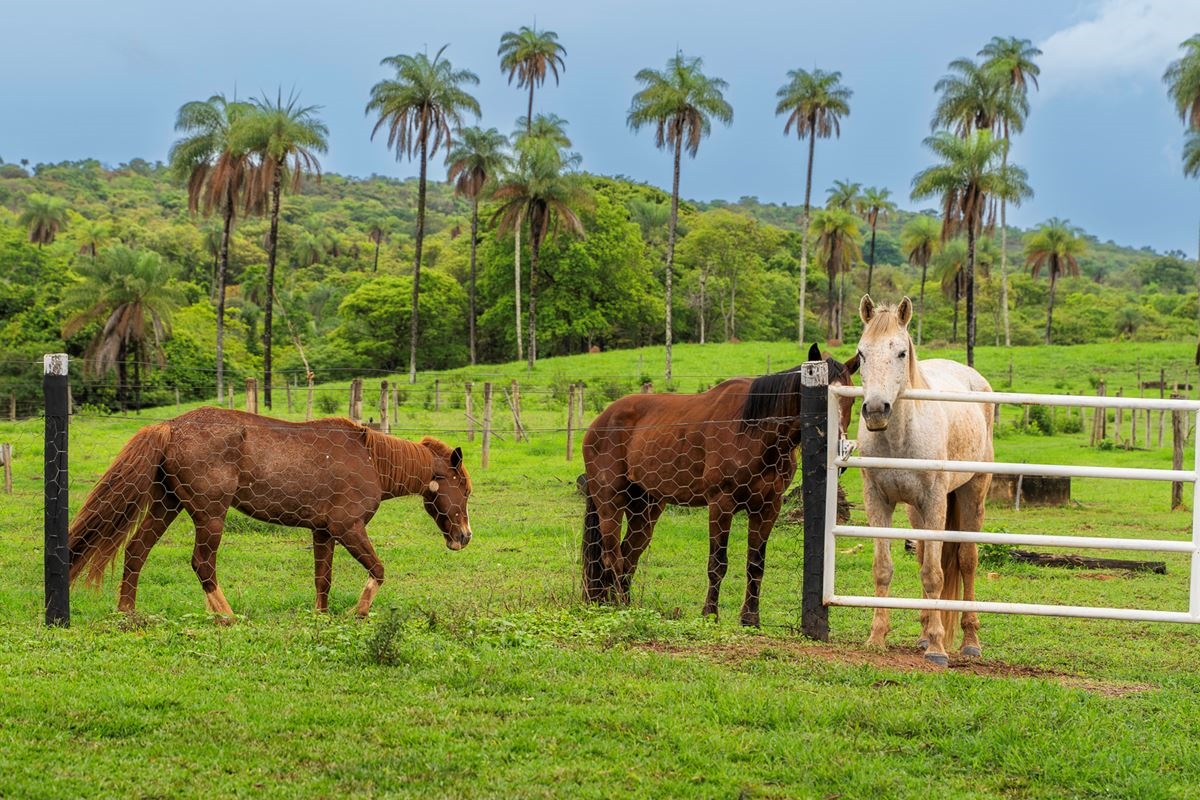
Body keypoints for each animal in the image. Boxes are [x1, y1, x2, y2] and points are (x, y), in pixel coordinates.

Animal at [68, 407, 472, 618]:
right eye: (465, 490)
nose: (464, 537)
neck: (372, 460)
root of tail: (170, 427)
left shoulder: (323, 532)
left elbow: (323, 580)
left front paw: (322, 616)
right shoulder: (348, 527)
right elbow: (378, 569)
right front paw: (359, 612)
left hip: (167, 505)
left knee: (137, 550)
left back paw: (127, 612)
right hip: (209, 515)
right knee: (202, 563)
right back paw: (226, 616)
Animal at [580, 345, 854, 623]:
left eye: (851, 400)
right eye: (823, 401)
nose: (840, 453)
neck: (756, 431)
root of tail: (600, 422)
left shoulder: (768, 507)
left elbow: (756, 564)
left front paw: (750, 619)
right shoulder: (721, 504)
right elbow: (718, 564)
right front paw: (710, 614)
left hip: (646, 508)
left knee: (628, 556)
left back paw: (622, 605)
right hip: (610, 503)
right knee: (612, 557)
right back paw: (617, 607)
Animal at [854, 297, 993, 666]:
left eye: (902, 352)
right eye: (861, 353)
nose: (876, 409)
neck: (900, 439)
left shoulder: (935, 502)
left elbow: (935, 573)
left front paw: (938, 648)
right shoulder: (879, 502)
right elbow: (884, 568)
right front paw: (876, 637)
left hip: (972, 494)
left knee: (967, 560)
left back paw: (969, 641)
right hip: (916, 511)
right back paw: (923, 634)